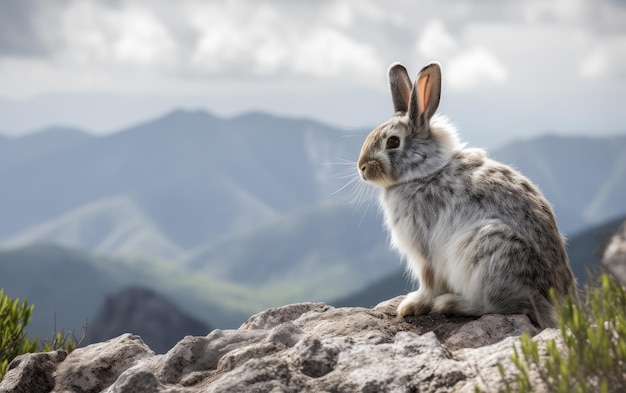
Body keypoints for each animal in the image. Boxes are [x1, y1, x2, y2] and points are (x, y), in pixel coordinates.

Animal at [356, 61, 576, 328]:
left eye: (393, 142)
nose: (362, 167)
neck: (424, 173)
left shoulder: (424, 250)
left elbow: (428, 281)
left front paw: (412, 305)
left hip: (488, 253)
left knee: (500, 305)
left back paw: (449, 304)